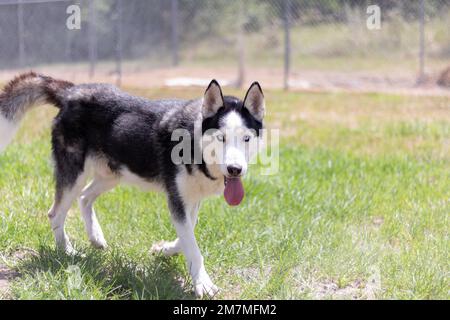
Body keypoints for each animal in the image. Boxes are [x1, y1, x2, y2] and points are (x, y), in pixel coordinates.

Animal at [0, 72, 264, 298]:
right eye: (221, 138)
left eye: (246, 138)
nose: (235, 169)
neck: (194, 142)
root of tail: (72, 92)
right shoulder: (176, 200)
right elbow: (192, 245)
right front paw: (203, 284)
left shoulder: (190, 200)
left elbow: (188, 236)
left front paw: (164, 249)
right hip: (74, 175)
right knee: (55, 213)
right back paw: (67, 252)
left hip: (110, 176)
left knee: (85, 197)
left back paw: (95, 237)